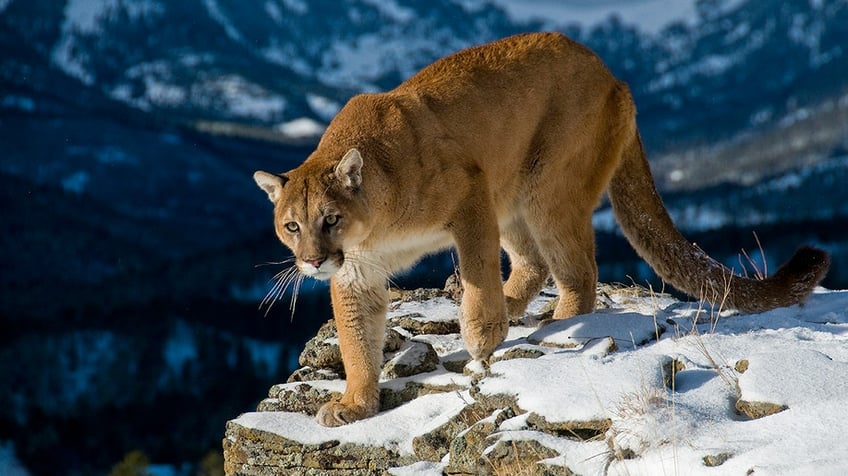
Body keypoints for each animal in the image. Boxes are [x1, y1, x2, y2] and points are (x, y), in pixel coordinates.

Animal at [252, 33, 828, 428]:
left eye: (330, 219)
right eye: (292, 225)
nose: (313, 260)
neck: (373, 225)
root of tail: (614, 77)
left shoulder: (470, 193)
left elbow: (478, 266)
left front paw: (481, 335)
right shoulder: (358, 273)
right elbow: (356, 340)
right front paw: (355, 403)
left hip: (545, 188)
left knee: (577, 269)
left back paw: (558, 320)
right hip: (514, 196)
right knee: (534, 262)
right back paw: (518, 307)